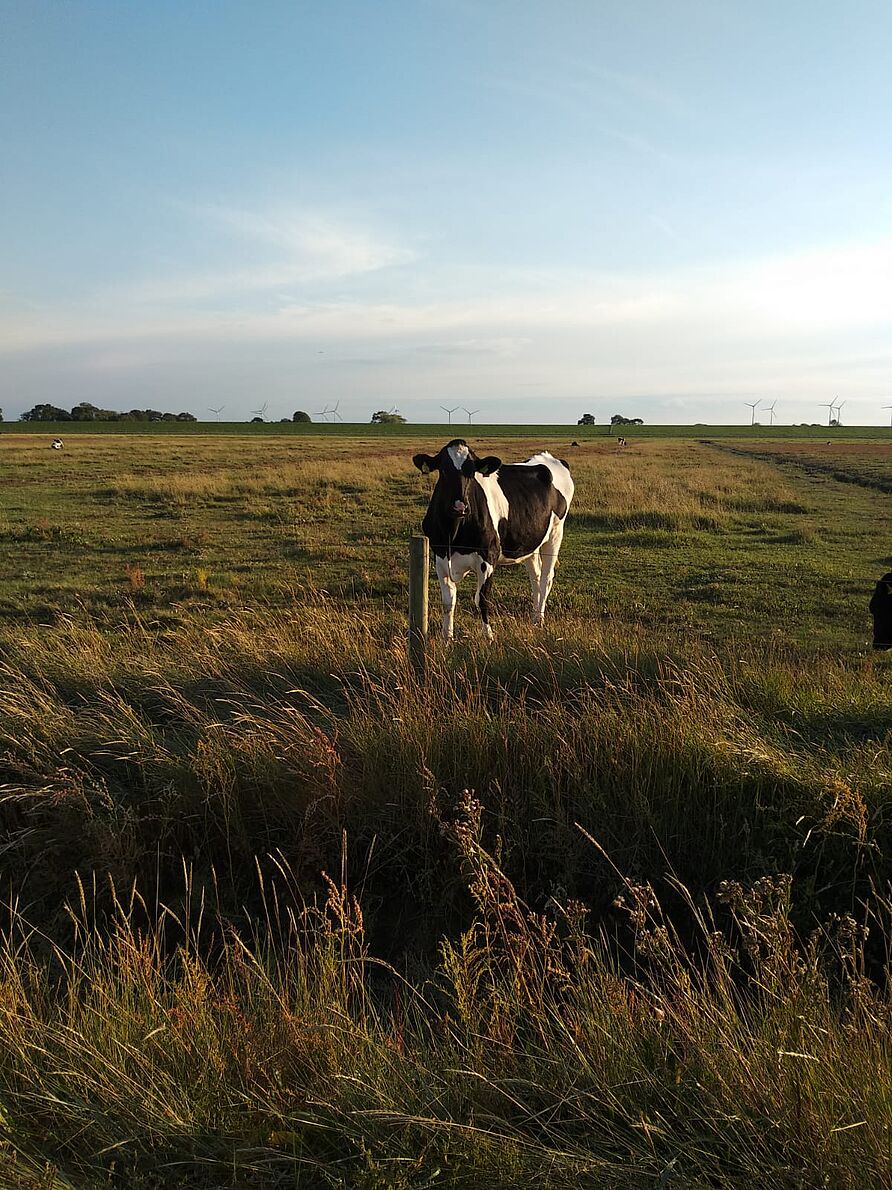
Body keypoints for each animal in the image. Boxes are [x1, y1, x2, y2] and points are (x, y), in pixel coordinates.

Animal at [416, 440, 575, 642]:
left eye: (472, 471)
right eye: (443, 470)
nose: (460, 506)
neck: (454, 533)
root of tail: (550, 458)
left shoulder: (488, 557)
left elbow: (482, 599)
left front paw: (488, 636)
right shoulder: (441, 557)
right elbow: (448, 601)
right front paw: (447, 638)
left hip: (555, 533)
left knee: (546, 577)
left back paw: (539, 620)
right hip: (531, 541)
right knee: (536, 577)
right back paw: (534, 618)